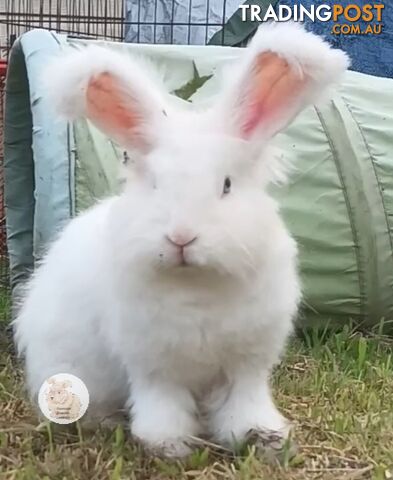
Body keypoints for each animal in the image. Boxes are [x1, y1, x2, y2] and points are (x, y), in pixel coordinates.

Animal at [13, 22, 348, 458]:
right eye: (156, 184)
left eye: (226, 185)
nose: (181, 237)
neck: (196, 286)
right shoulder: (154, 367)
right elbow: (163, 404)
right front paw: (168, 445)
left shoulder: (246, 365)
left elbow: (245, 403)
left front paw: (263, 438)